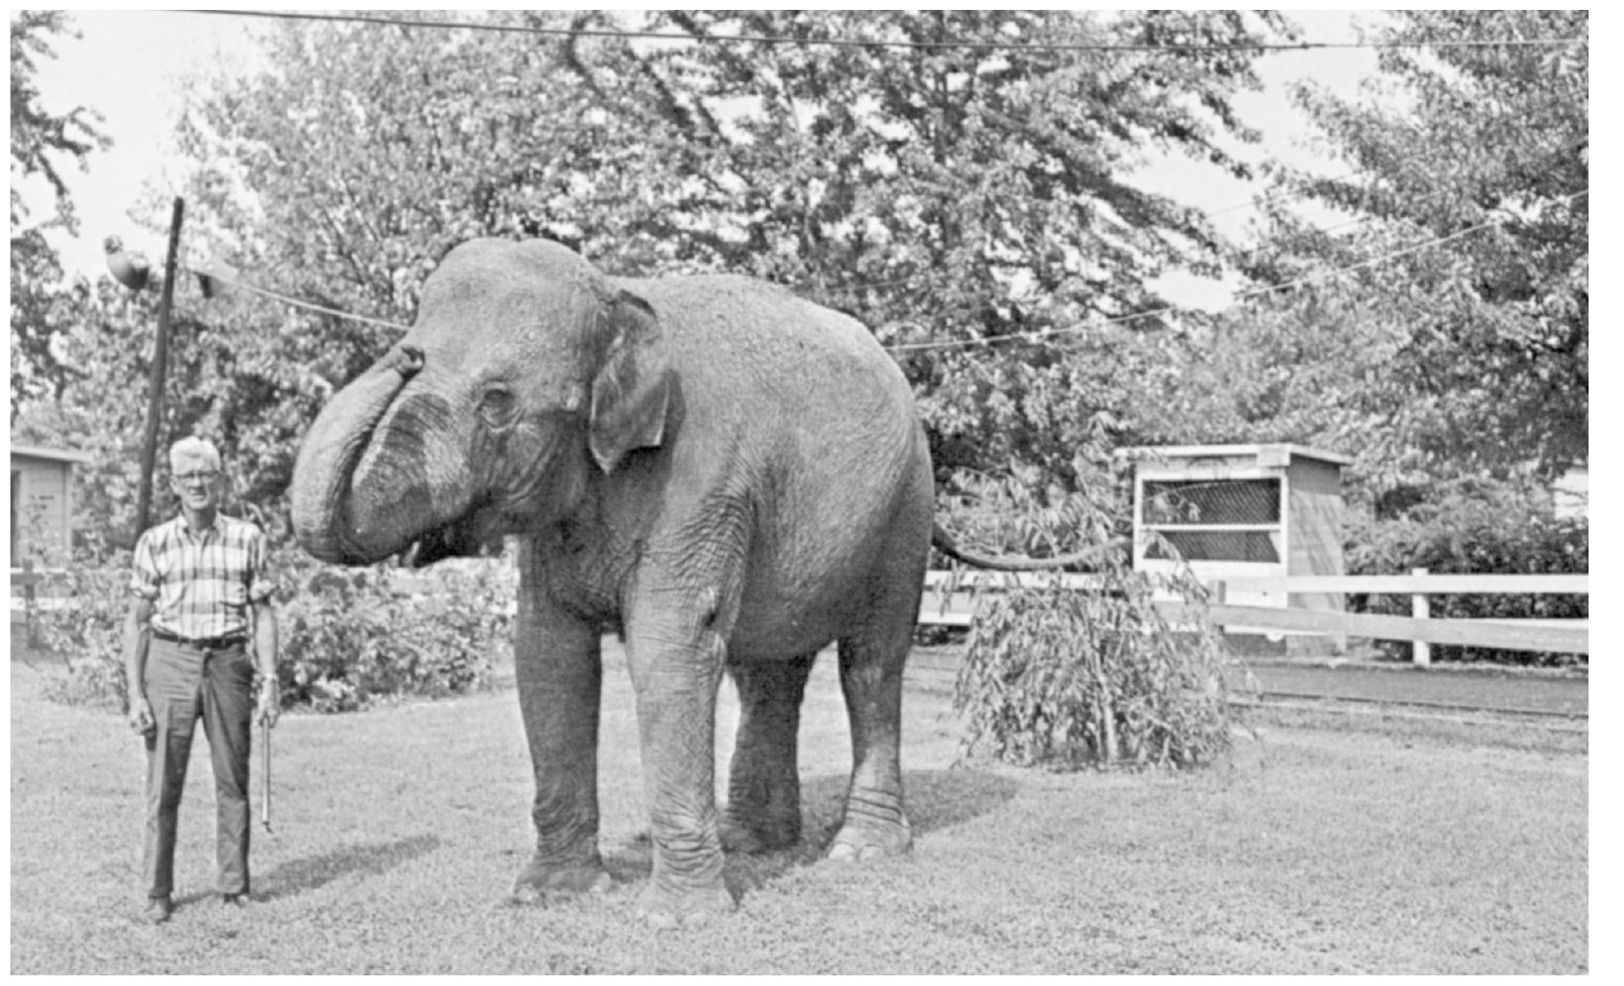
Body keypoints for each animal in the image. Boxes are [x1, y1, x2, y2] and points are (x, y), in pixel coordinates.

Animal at [295, 235, 1091, 929]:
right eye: (419, 356)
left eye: (497, 401)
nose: (402, 353)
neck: (620, 295)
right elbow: (549, 658)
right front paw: (549, 896)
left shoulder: (701, 482)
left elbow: (670, 651)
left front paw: (677, 920)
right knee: (768, 673)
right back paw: (754, 844)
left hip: (904, 514)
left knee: (871, 664)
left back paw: (858, 853)